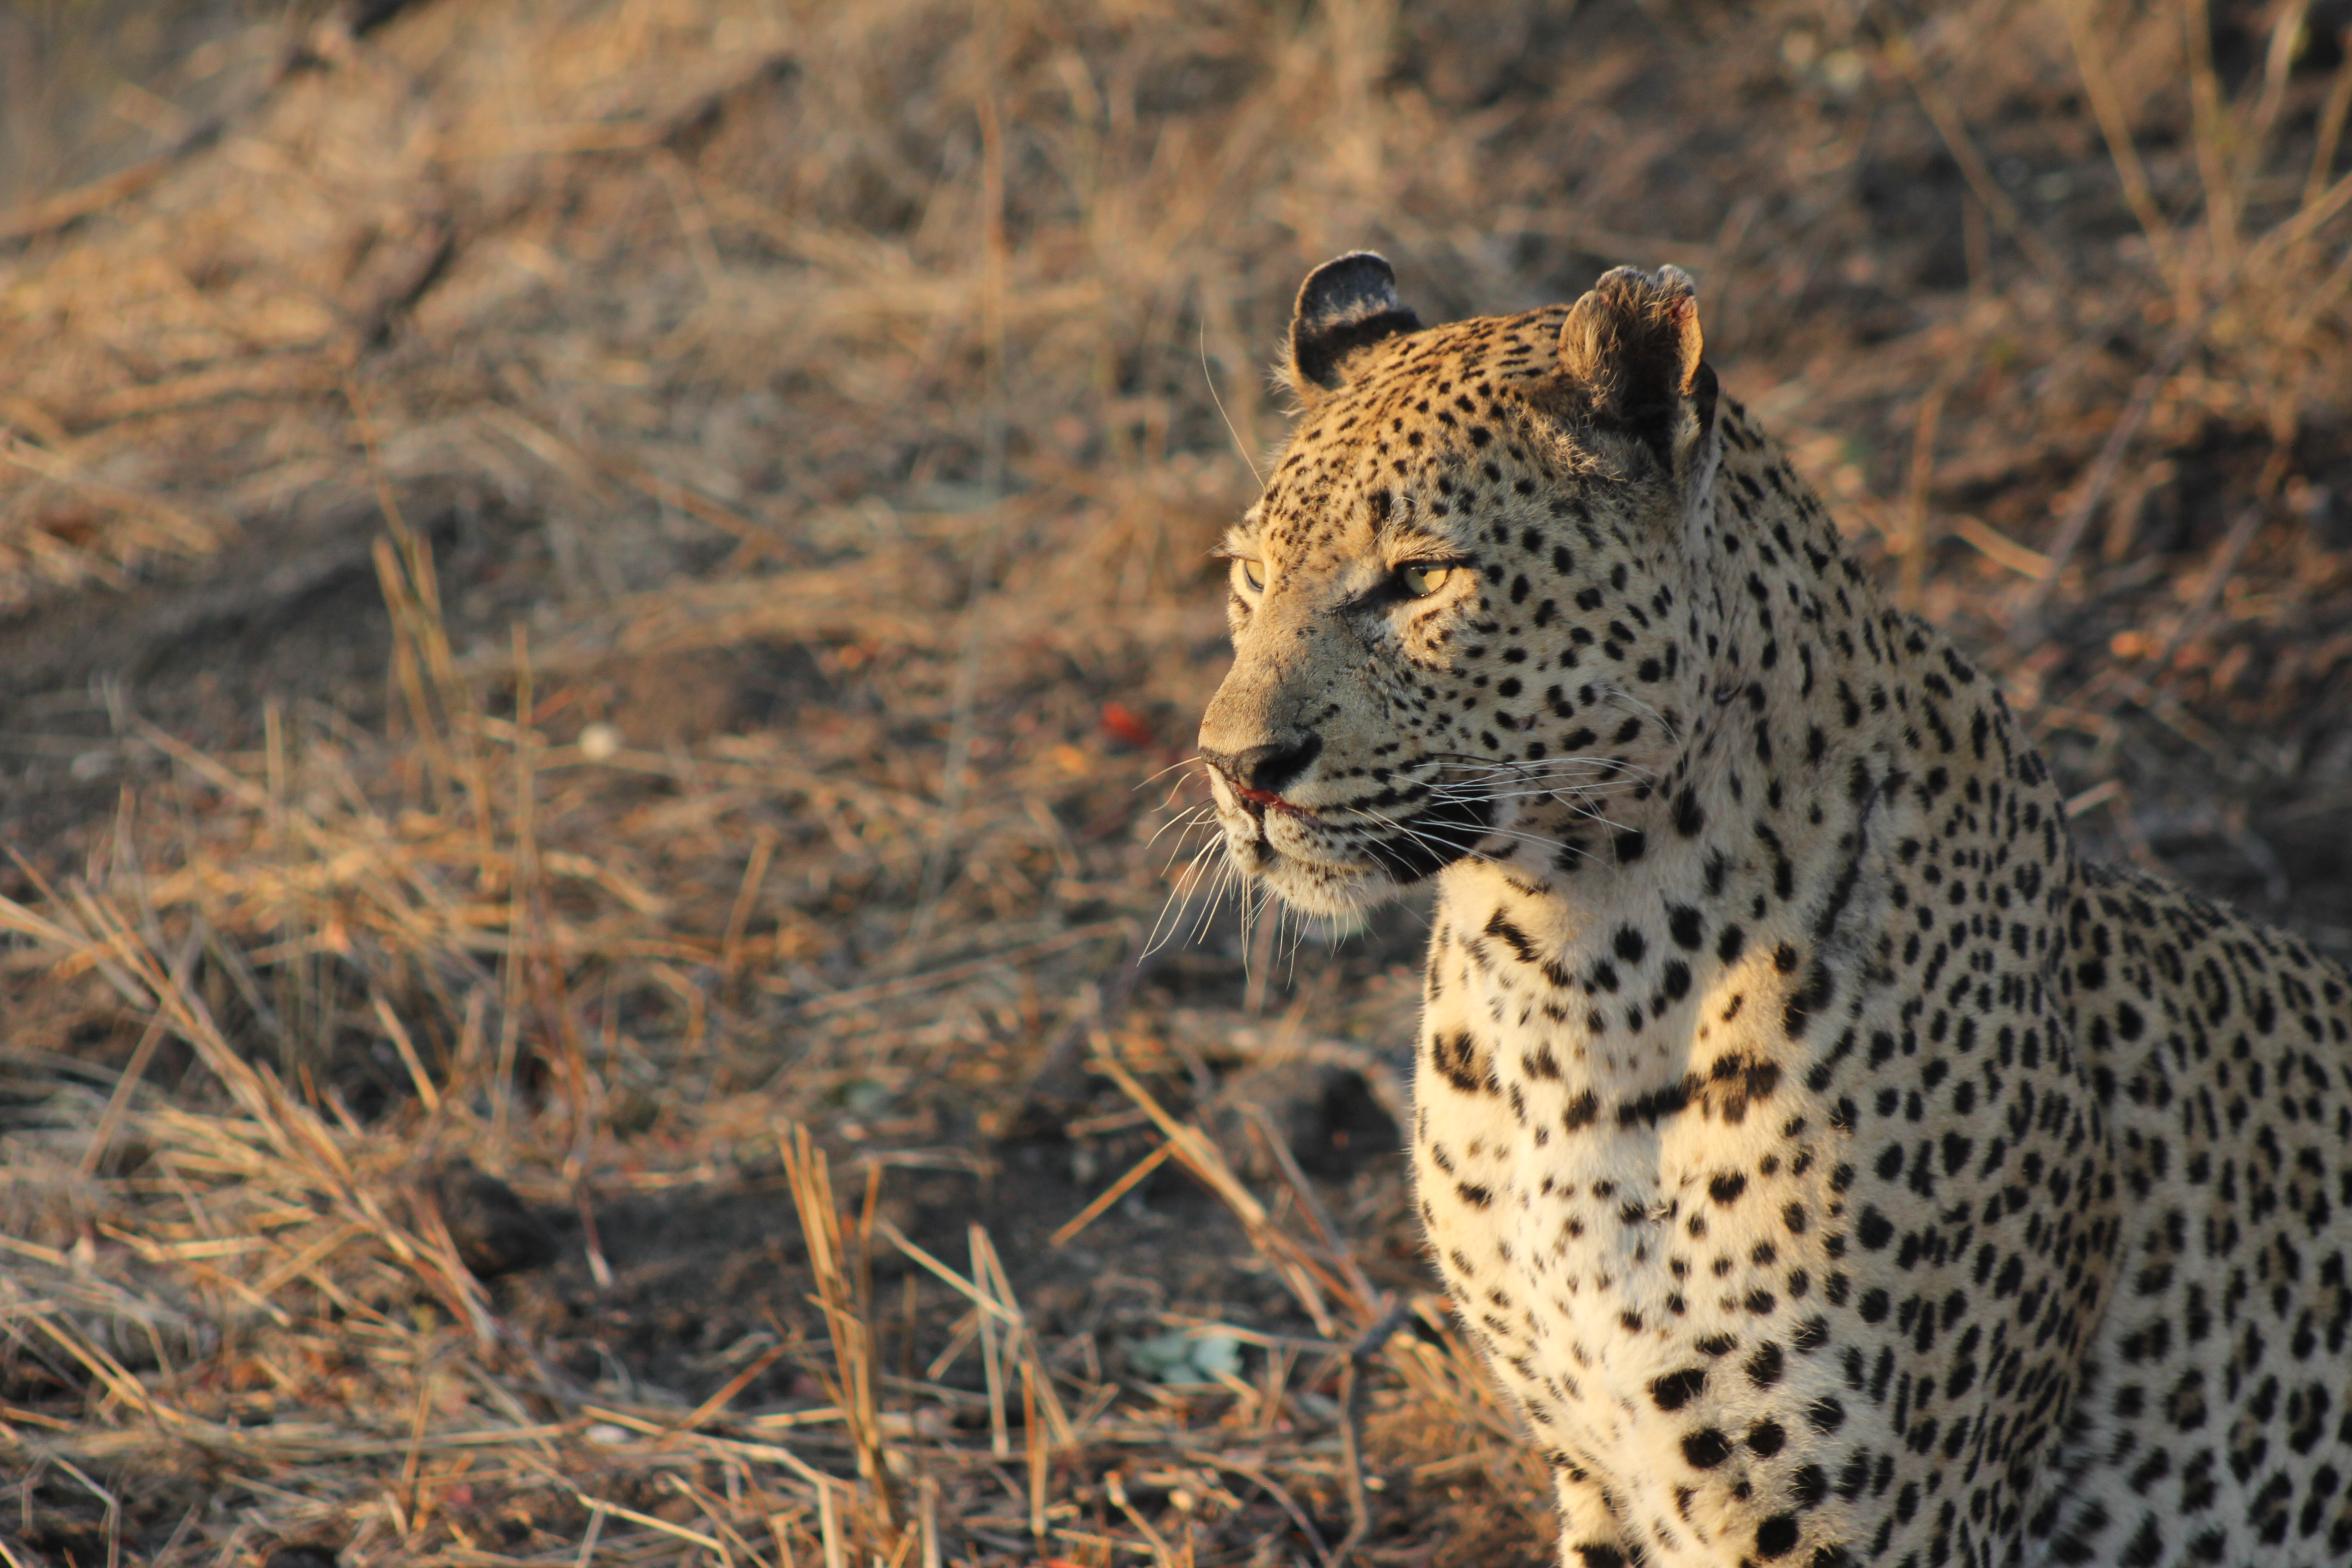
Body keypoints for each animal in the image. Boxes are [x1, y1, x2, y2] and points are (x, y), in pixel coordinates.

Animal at [1192, 252, 2352, 1568]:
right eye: (1249, 576)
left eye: (1421, 577)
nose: (1234, 768)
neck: (1560, 967)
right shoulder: (1592, 1465)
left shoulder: (1864, 1511)